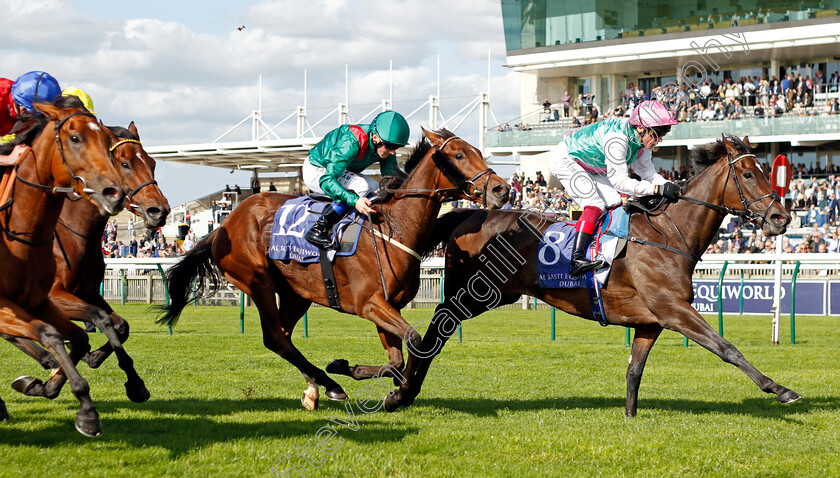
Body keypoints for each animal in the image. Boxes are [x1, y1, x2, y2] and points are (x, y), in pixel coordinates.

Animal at [0, 102, 128, 436]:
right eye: (74, 138)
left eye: (107, 143)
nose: (114, 192)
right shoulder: (29, 300)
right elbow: (52, 333)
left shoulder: (40, 300)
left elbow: (88, 331)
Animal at [2, 122, 170, 404]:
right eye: (124, 163)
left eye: (152, 162)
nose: (159, 210)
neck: (76, 232)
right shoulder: (54, 295)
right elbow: (100, 319)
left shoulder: (88, 292)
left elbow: (120, 325)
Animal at [160, 128, 508, 410]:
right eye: (459, 154)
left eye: (478, 152)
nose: (502, 189)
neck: (392, 228)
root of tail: (224, 225)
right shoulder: (370, 304)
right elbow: (416, 341)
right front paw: (394, 388)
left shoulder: (388, 305)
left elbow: (396, 360)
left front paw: (359, 372)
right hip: (258, 281)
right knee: (274, 337)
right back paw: (330, 385)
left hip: (296, 293)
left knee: (283, 337)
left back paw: (316, 388)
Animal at [380, 134, 800, 414]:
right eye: (748, 174)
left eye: (766, 169)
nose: (781, 217)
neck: (667, 234)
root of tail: (471, 213)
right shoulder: (673, 310)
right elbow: (726, 347)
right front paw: (780, 389)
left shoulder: (650, 322)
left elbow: (634, 371)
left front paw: (630, 417)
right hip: (474, 292)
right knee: (434, 330)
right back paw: (401, 392)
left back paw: (404, 390)